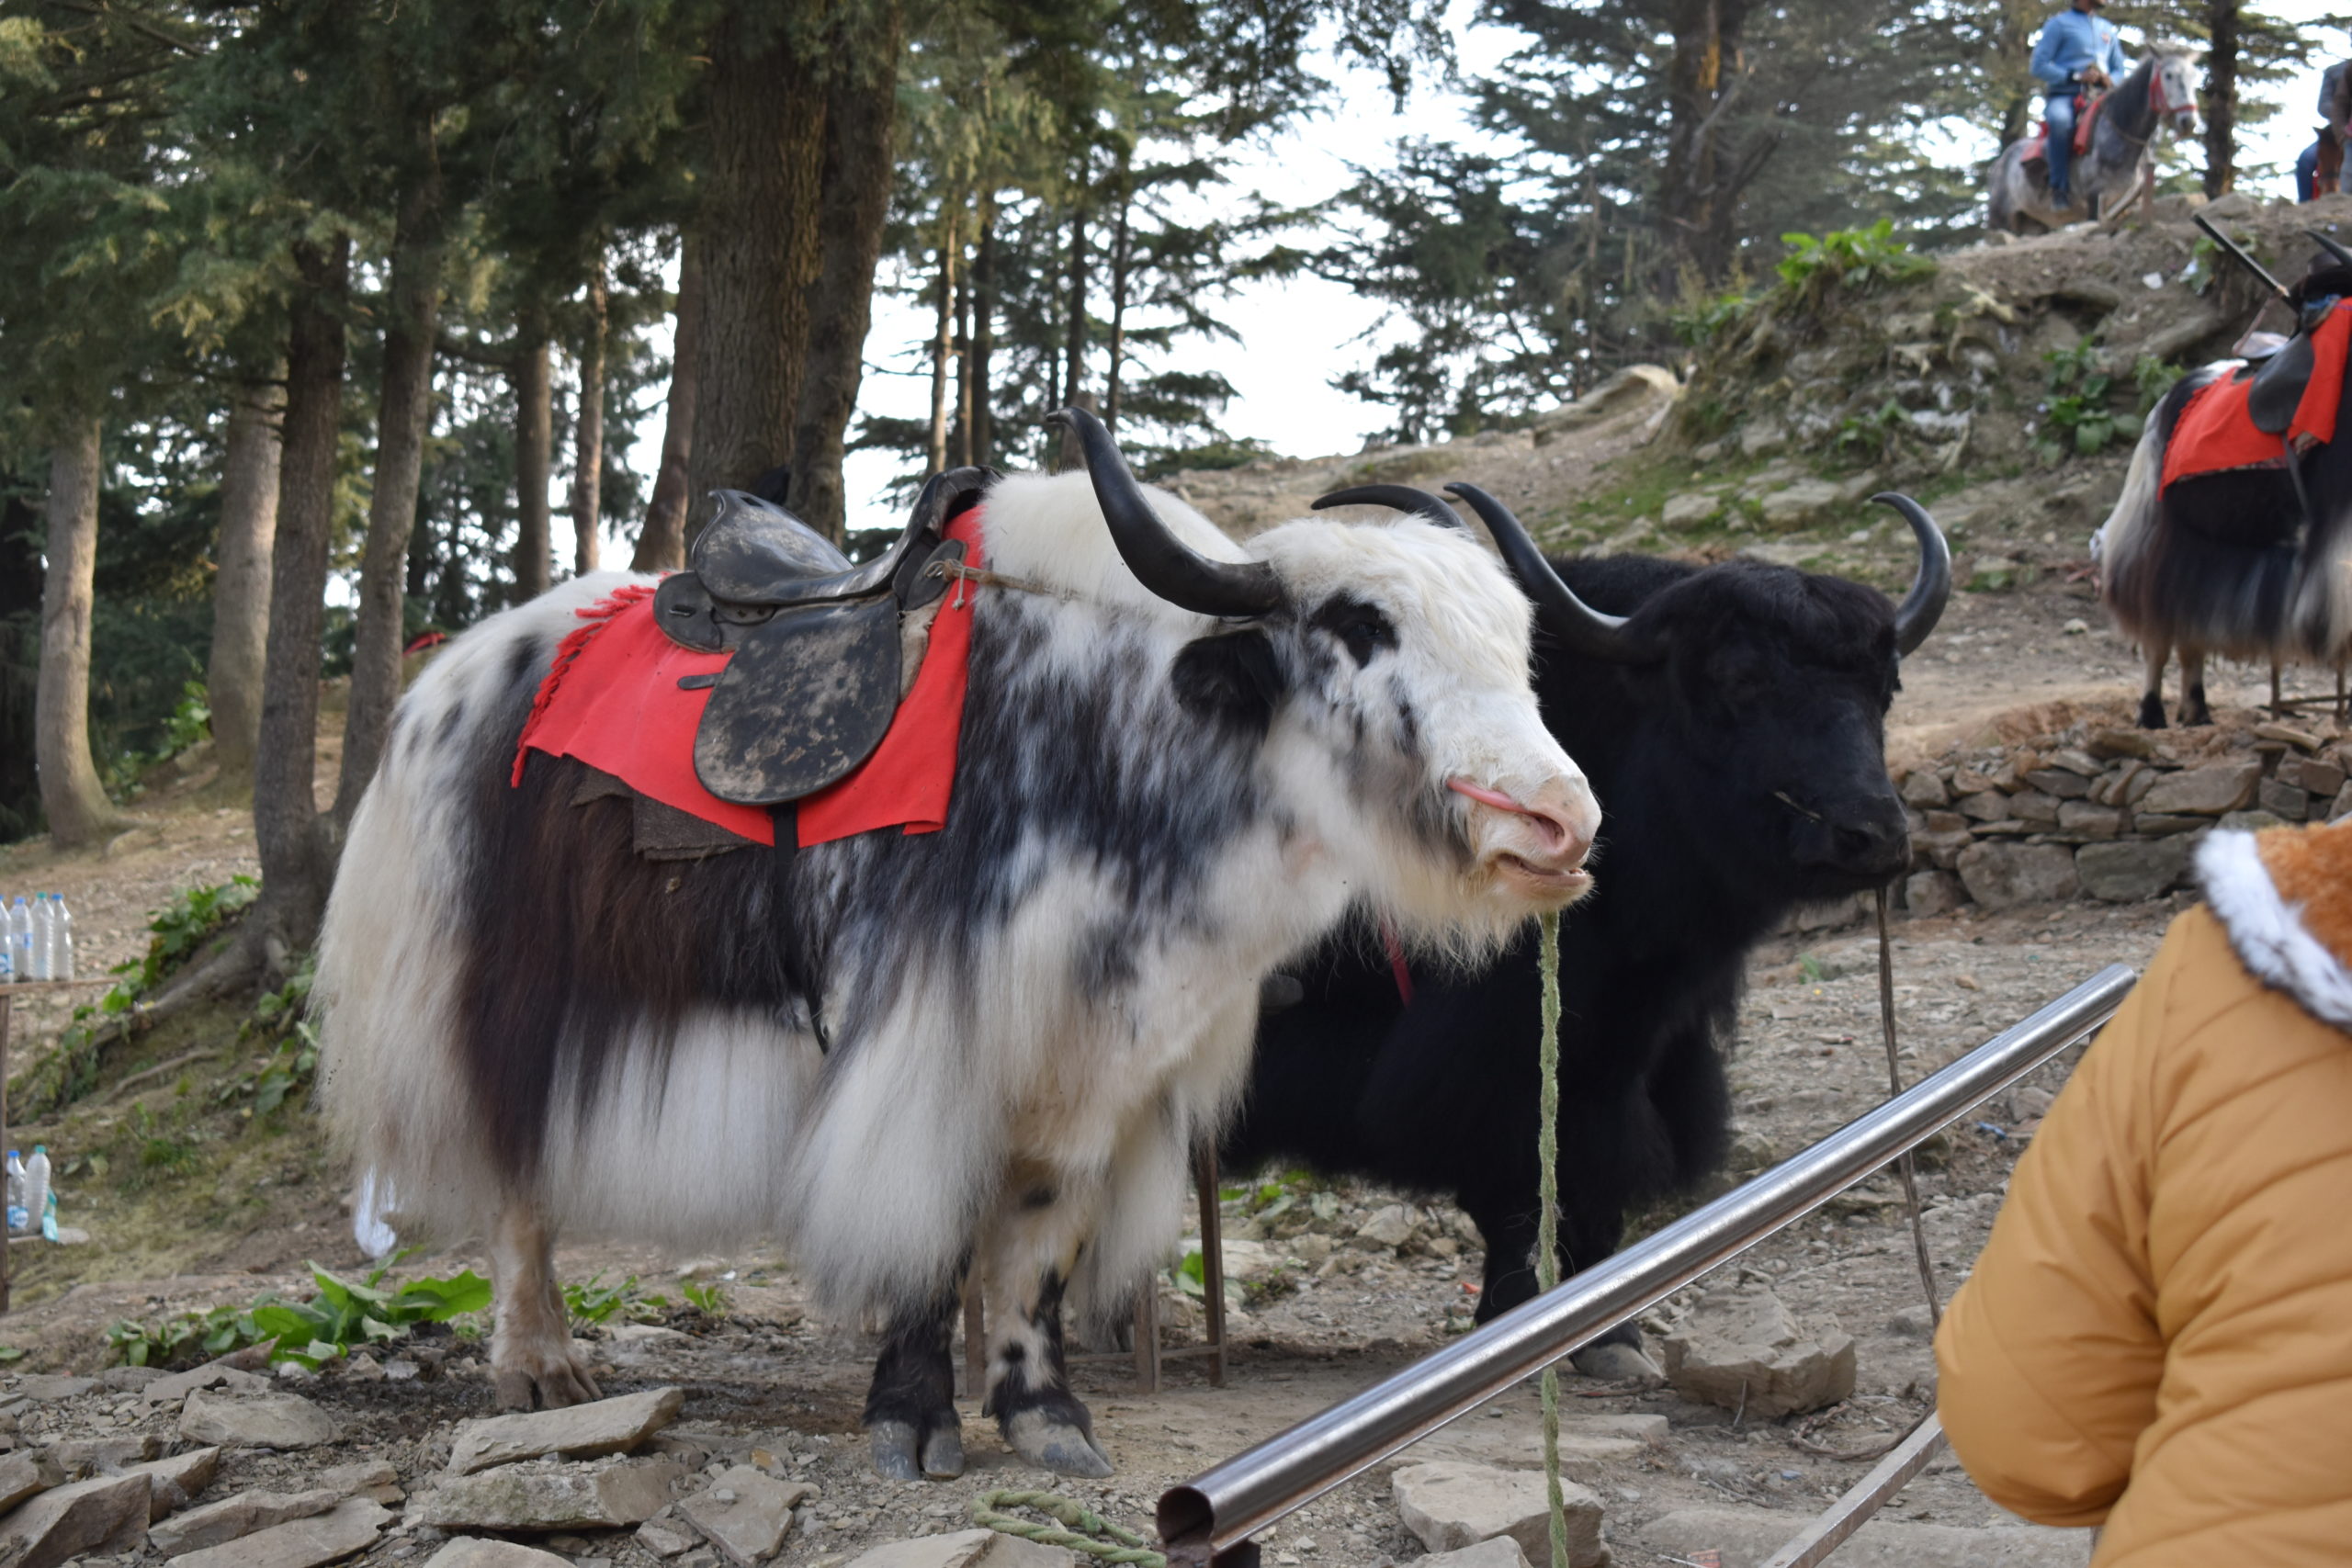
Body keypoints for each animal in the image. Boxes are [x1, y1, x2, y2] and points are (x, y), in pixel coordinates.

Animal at [1994, 49, 2191, 234]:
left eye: (2193, 76)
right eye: (2168, 76)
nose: (2187, 120)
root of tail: (2000, 162)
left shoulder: (2127, 204)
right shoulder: (2094, 197)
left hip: (2033, 223)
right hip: (2005, 219)